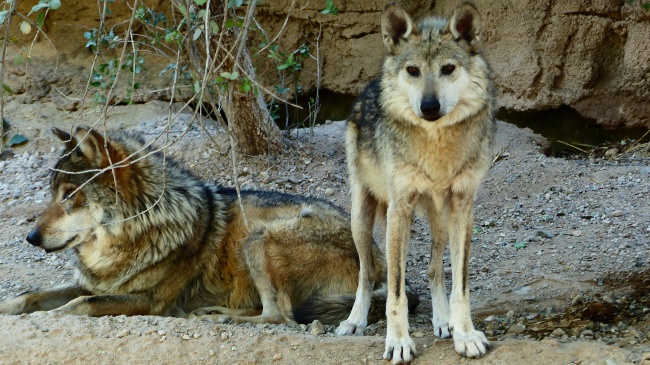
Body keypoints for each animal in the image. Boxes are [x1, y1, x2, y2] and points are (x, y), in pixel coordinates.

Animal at [0, 126, 410, 324]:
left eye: (71, 194)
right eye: (52, 193)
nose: (30, 237)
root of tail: (378, 259)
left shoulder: (148, 300)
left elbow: (79, 304)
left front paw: (50, 317)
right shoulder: (93, 283)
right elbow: (30, 296)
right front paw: (8, 308)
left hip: (257, 240)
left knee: (282, 316)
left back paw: (223, 319)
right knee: (273, 311)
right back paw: (214, 312)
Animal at [336, 2, 494, 362]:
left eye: (448, 69)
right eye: (413, 70)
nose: (429, 106)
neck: (436, 147)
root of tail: (370, 83)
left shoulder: (464, 206)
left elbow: (460, 285)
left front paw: (465, 334)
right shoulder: (399, 209)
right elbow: (396, 292)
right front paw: (398, 342)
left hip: (441, 219)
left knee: (435, 270)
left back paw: (443, 320)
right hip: (361, 218)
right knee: (367, 273)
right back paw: (355, 320)